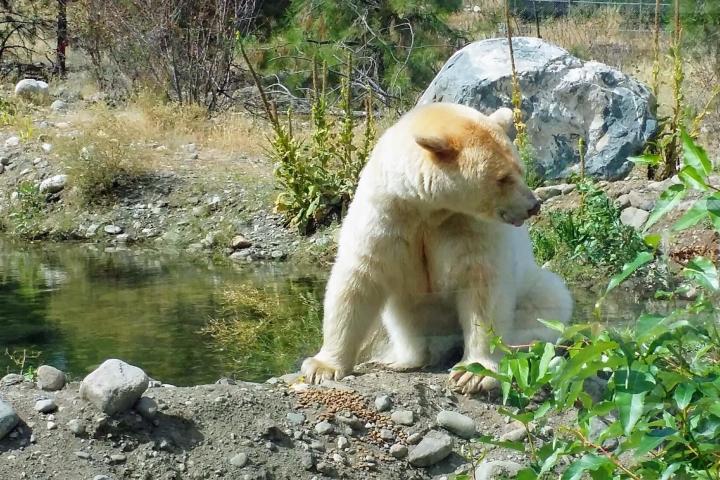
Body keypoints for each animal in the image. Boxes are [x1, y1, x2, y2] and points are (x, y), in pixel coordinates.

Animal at [300, 101, 572, 394]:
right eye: (503, 178)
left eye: (520, 170)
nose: (533, 205)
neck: (427, 208)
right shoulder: (386, 214)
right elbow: (359, 280)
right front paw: (321, 366)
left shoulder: (469, 225)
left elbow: (483, 286)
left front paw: (473, 374)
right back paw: (399, 359)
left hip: (534, 287)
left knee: (550, 299)